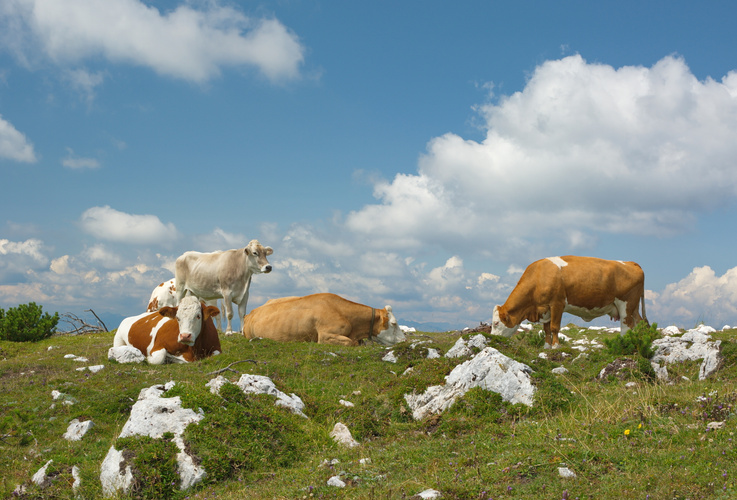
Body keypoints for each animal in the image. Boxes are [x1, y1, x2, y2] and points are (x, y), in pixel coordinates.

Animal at [491, 256, 648, 349]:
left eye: (496, 323)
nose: (492, 339)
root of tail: (631, 263)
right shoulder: (545, 309)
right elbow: (546, 329)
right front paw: (546, 347)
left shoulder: (557, 304)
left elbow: (554, 327)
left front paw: (556, 347)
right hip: (634, 307)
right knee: (640, 323)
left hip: (626, 304)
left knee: (626, 326)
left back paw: (623, 343)